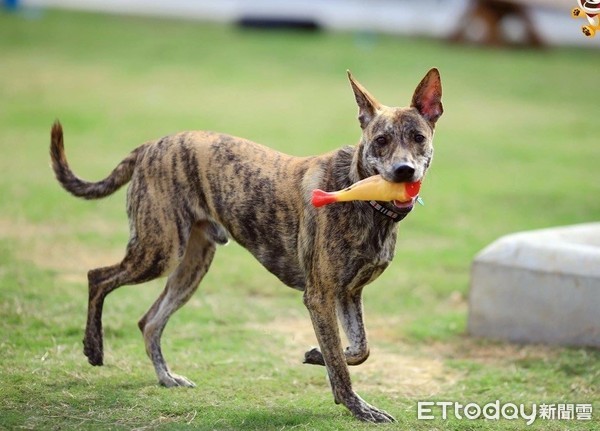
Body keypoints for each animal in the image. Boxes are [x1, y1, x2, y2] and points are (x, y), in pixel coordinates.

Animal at [50, 69, 440, 424]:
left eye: (418, 137)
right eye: (381, 140)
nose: (404, 171)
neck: (359, 190)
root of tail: (150, 146)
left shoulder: (347, 294)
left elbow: (359, 349)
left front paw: (318, 355)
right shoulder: (319, 295)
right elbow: (342, 366)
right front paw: (358, 407)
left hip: (192, 267)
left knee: (149, 322)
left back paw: (166, 377)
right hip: (158, 251)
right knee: (98, 277)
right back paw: (93, 348)